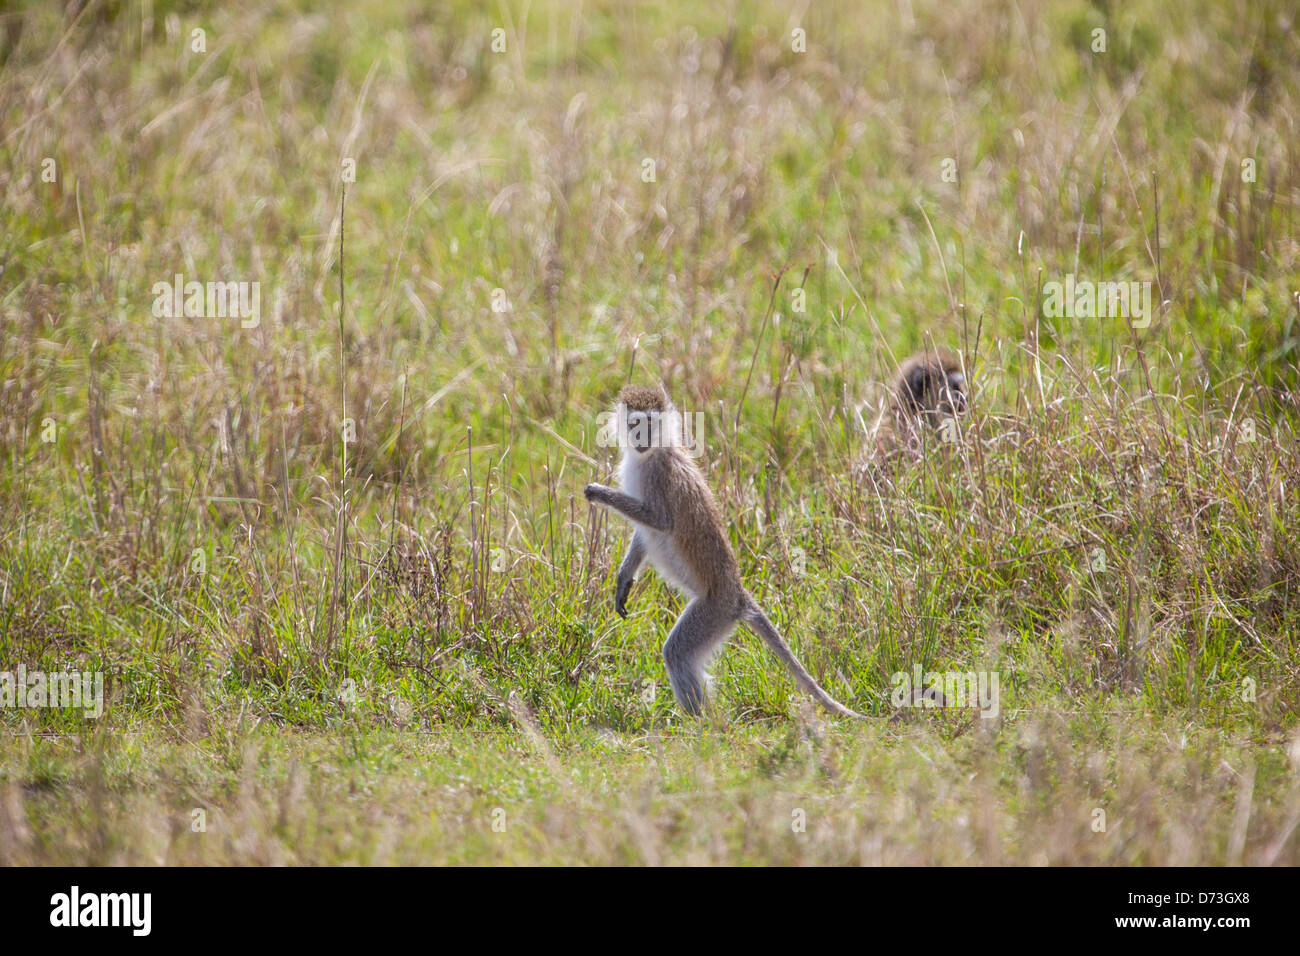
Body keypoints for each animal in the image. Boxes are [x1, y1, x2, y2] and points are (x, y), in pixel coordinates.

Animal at [583, 384, 862, 719]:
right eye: (635, 424)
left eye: (650, 424)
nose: (642, 439)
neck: (653, 454)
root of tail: (738, 596)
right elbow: (644, 534)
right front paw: (624, 579)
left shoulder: (662, 477)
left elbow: (660, 522)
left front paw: (599, 493)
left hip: (714, 613)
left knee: (677, 653)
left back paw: (702, 724)